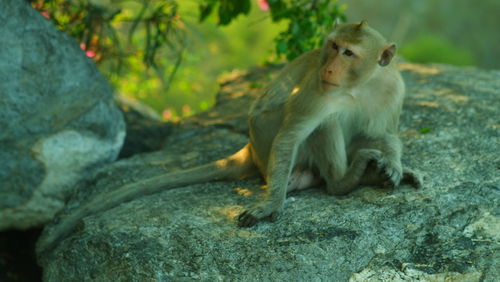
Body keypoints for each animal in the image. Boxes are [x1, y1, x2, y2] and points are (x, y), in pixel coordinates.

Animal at [37, 20, 422, 251]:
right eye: (332, 46)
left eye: (349, 52)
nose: (328, 67)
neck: (361, 85)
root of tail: (249, 148)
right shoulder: (318, 90)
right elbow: (291, 136)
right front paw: (271, 205)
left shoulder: (394, 87)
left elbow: (384, 133)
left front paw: (394, 167)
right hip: (266, 140)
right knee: (321, 126)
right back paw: (343, 181)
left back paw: (364, 174)